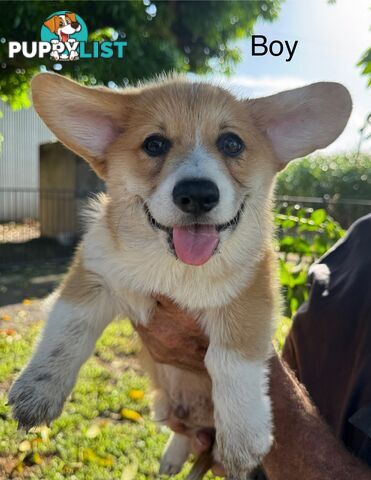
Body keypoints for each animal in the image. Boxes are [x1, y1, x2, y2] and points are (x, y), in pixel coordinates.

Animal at [8, 73, 352, 478]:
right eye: (154, 144)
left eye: (232, 143)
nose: (198, 195)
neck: (177, 269)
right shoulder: (93, 273)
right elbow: (68, 331)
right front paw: (38, 391)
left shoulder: (251, 292)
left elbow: (228, 358)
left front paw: (243, 436)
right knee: (184, 431)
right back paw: (173, 455)